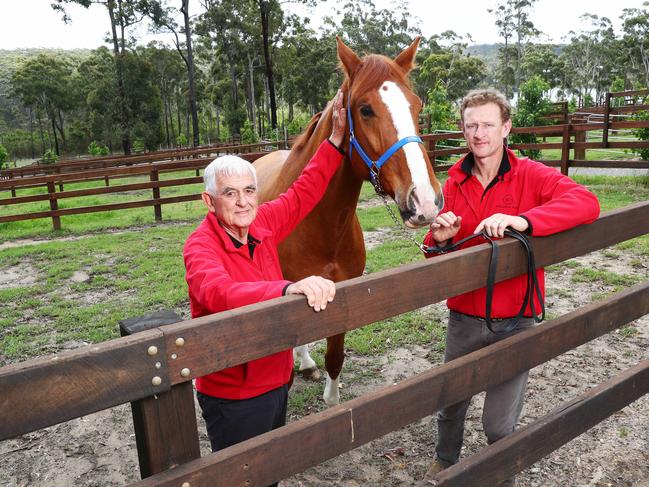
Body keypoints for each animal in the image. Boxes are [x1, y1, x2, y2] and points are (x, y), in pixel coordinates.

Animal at [256, 37, 442, 404]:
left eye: (416, 107)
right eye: (365, 109)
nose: (425, 201)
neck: (320, 229)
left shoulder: (343, 299)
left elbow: (335, 360)